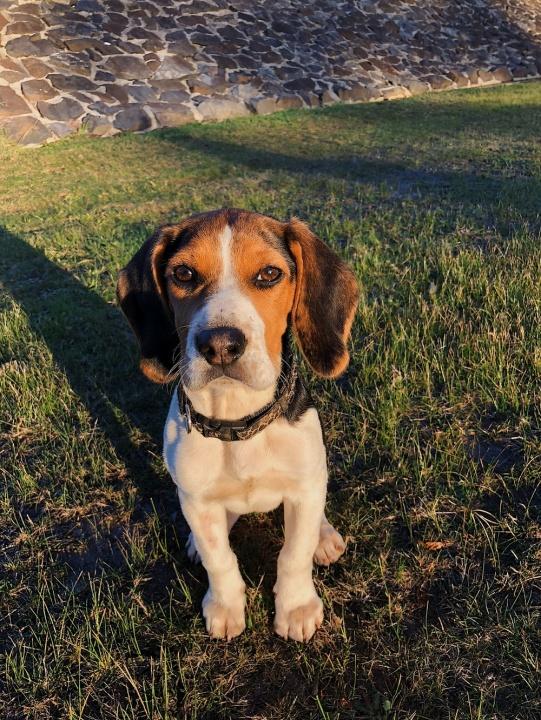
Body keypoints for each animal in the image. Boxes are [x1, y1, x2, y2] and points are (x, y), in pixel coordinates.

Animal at [116, 208, 356, 640]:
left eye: (269, 274)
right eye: (183, 274)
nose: (220, 345)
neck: (237, 423)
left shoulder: (303, 488)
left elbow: (293, 554)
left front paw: (296, 608)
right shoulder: (195, 498)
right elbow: (220, 559)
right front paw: (225, 607)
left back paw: (325, 537)